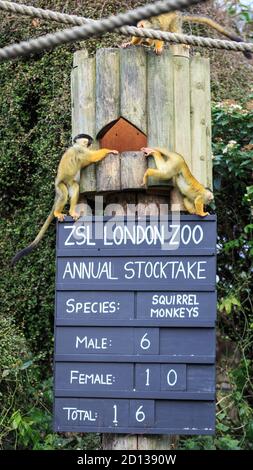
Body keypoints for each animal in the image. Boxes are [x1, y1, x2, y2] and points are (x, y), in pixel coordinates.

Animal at [11, 134, 118, 266]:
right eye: (89, 141)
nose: (91, 143)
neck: (77, 145)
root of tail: (57, 185)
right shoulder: (80, 150)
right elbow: (92, 157)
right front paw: (109, 150)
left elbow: (85, 162)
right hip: (60, 185)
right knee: (63, 195)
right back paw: (57, 212)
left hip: (68, 182)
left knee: (75, 186)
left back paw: (71, 211)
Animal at [122, 11, 251, 59]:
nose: (138, 27)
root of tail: (179, 14)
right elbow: (139, 36)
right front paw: (131, 42)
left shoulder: (154, 25)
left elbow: (160, 34)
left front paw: (158, 46)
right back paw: (147, 42)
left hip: (175, 20)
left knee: (174, 30)